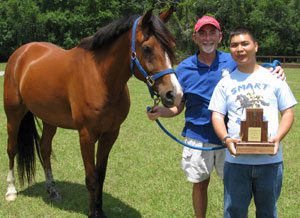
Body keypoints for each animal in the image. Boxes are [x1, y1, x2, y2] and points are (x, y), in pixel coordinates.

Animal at [3, 8, 183, 218]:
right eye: (147, 48)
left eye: (171, 46)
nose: (175, 94)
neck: (100, 77)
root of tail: (22, 53)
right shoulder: (86, 135)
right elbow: (91, 177)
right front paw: (92, 212)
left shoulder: (111, 134)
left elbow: (100, 174)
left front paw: (100, 209)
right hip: (13, 115)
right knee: (12, 149)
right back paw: (11, 191)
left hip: (50, 119)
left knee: (45, 148)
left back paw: (52, 190)